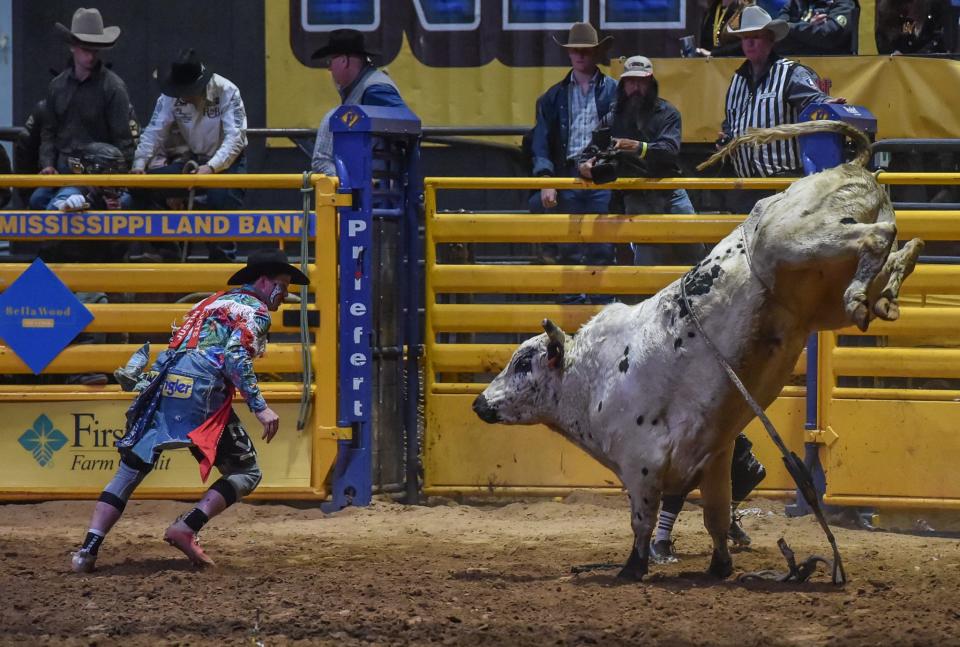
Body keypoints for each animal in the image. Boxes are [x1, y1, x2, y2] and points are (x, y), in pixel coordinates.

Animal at [472, 120, 924, 584]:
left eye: (522, 362)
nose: (480, 403)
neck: (593, 374)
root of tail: (846, 167)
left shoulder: (642, 465)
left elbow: (642, 521)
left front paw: (631, 568)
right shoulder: (714, 459)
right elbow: (716, 518)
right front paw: (718, 566)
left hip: (790, 242)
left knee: (876, 236)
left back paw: (870, 290)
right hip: (817, 295)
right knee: (896, 249)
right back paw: (882, 296)